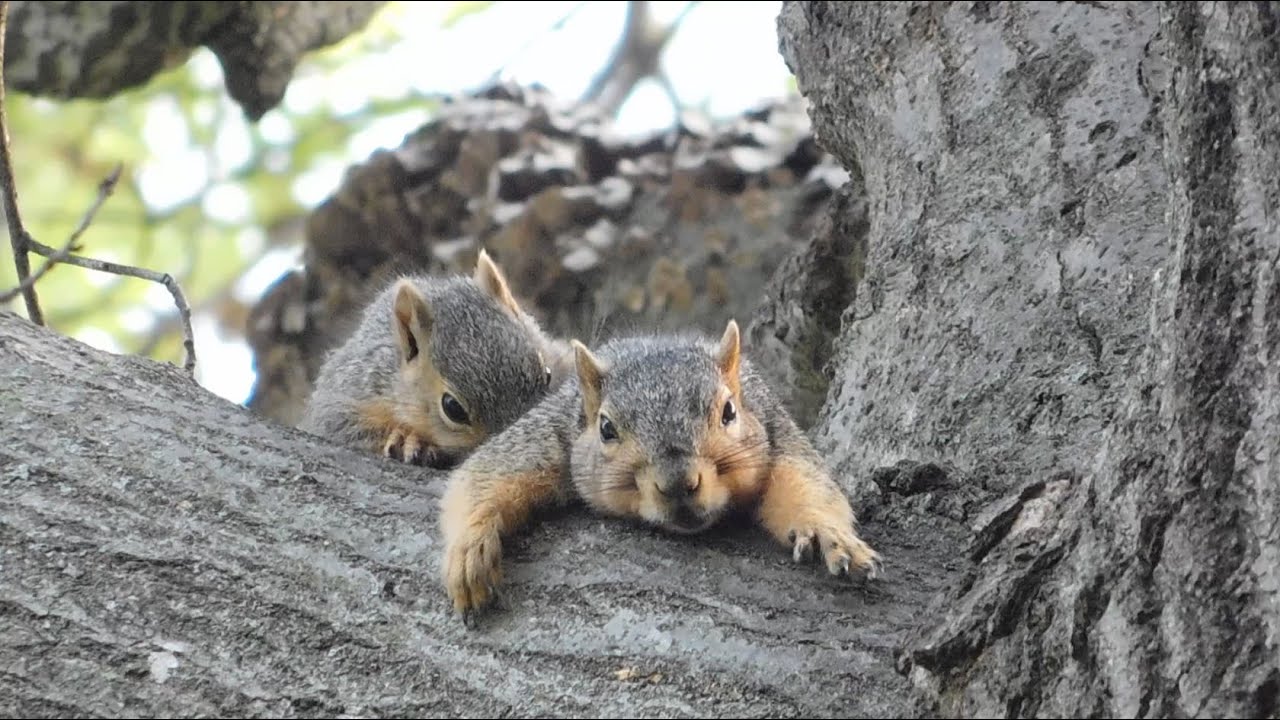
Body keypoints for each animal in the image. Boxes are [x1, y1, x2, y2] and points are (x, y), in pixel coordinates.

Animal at [438, 318, 883, 621]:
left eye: (729, 411)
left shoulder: (775, 431)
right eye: (606, 428)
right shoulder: (551, 437)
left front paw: (829, 534)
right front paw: (471, 546)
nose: (677, 483)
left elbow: (808, 481)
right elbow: (486, 473)